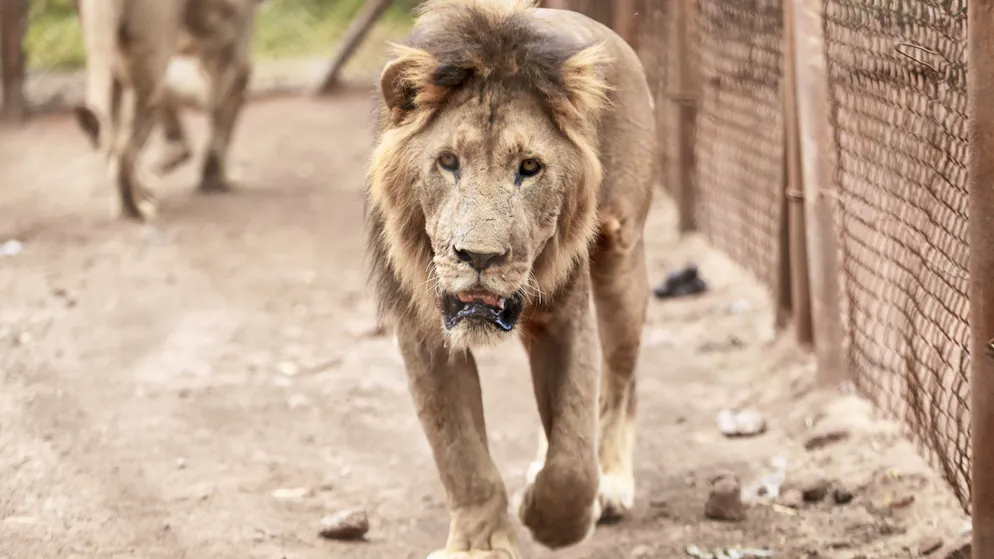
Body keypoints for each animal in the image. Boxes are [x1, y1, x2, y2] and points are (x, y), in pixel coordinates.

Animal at [365, 1, 656, 556]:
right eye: (448, 162)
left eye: (530, 167)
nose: (479, 256)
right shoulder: (423, 330)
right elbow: (461, 453)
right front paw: (480, 544)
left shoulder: (565, 314)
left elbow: (573, 457)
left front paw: (552, 518)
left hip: (621, 256)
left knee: (620, 381)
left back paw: (612, 482)